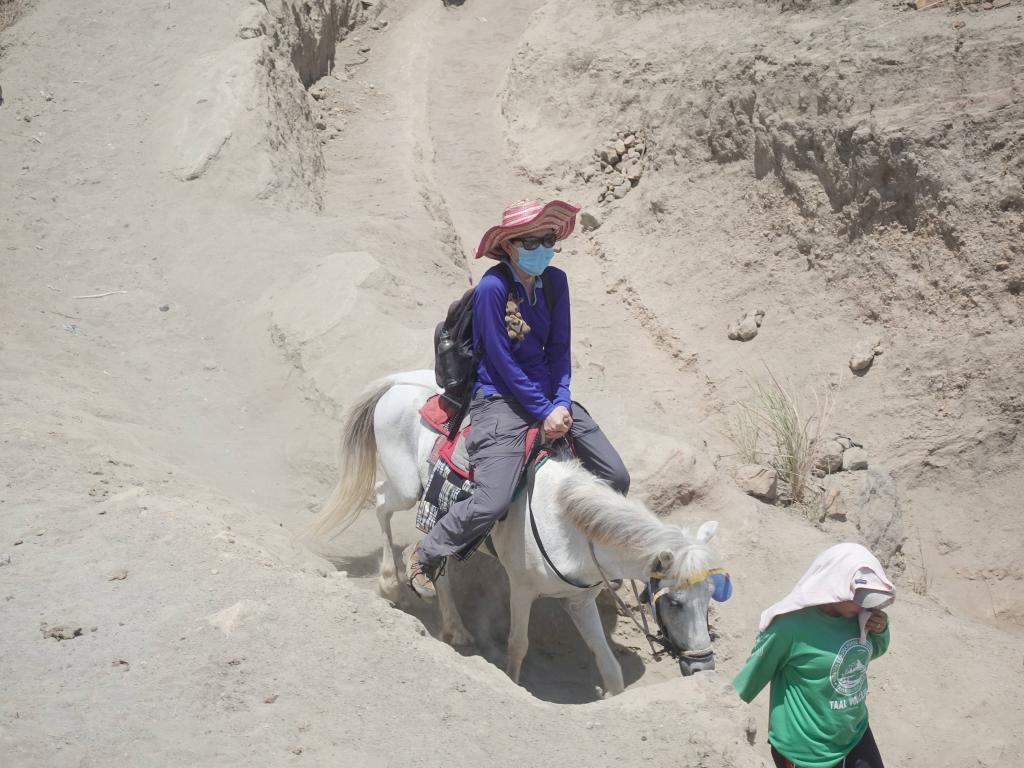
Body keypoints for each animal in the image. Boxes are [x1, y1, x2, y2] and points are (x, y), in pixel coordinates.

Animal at [307, 370, 724, 696]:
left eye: (709, 598)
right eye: (675, 602)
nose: (703, 667)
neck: (568, 528)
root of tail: (399, 381)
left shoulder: (579, 601)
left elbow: (609, 666)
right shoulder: (522, 588)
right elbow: (518, 644)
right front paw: (513, 682)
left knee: (436, 553)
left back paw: (454, 627)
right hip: (407, 488)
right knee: (380, 502)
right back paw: (391, 583)